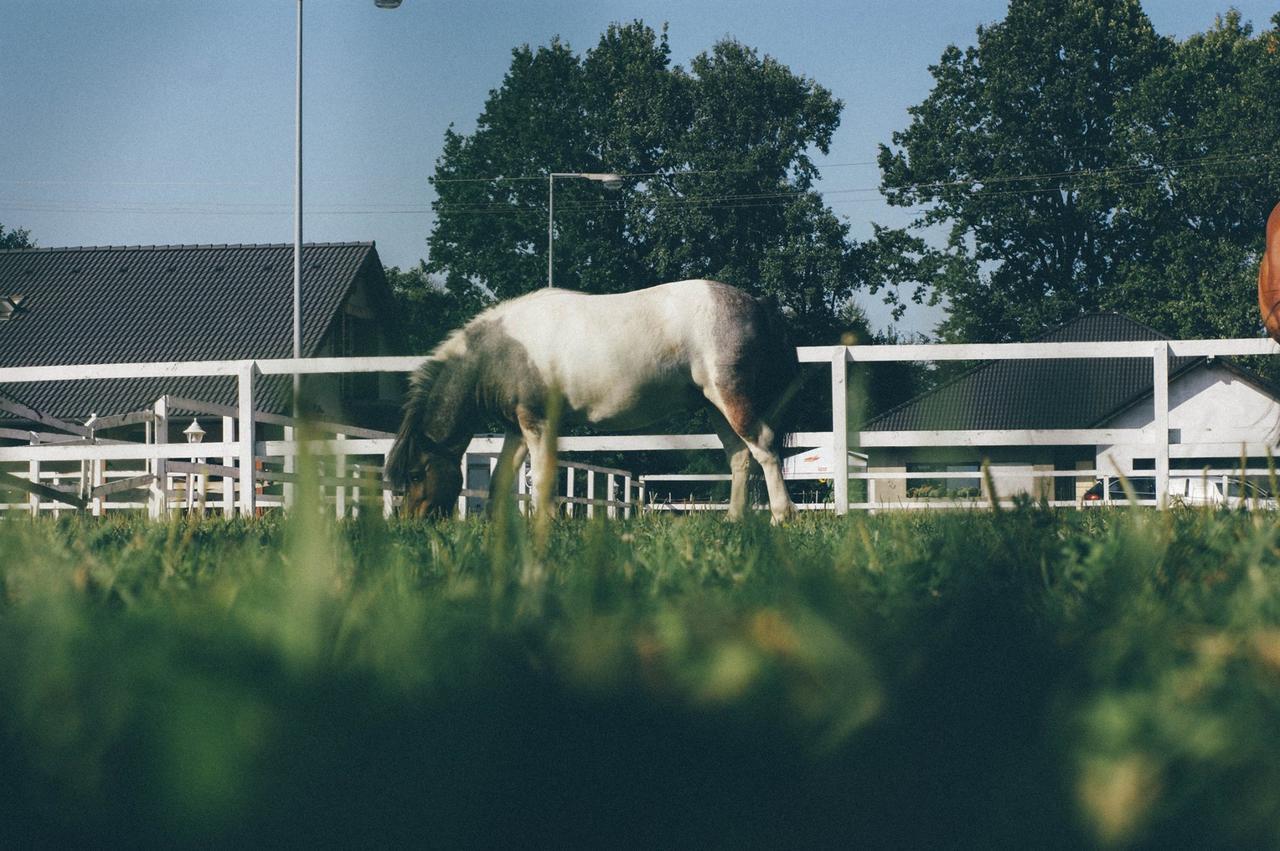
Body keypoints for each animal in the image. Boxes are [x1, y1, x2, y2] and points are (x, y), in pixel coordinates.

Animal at [384, 280, 793, 516]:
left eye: (417, 472)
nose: (413, 526)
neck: (501, 350)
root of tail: (757, 302)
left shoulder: (539, 424)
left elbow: (543, 480)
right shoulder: (519, 427)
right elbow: (501, 480)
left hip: (730, 397)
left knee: (764, 447)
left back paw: (782, 515)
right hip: (715, 406)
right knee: (739, 457)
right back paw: (734, 521)